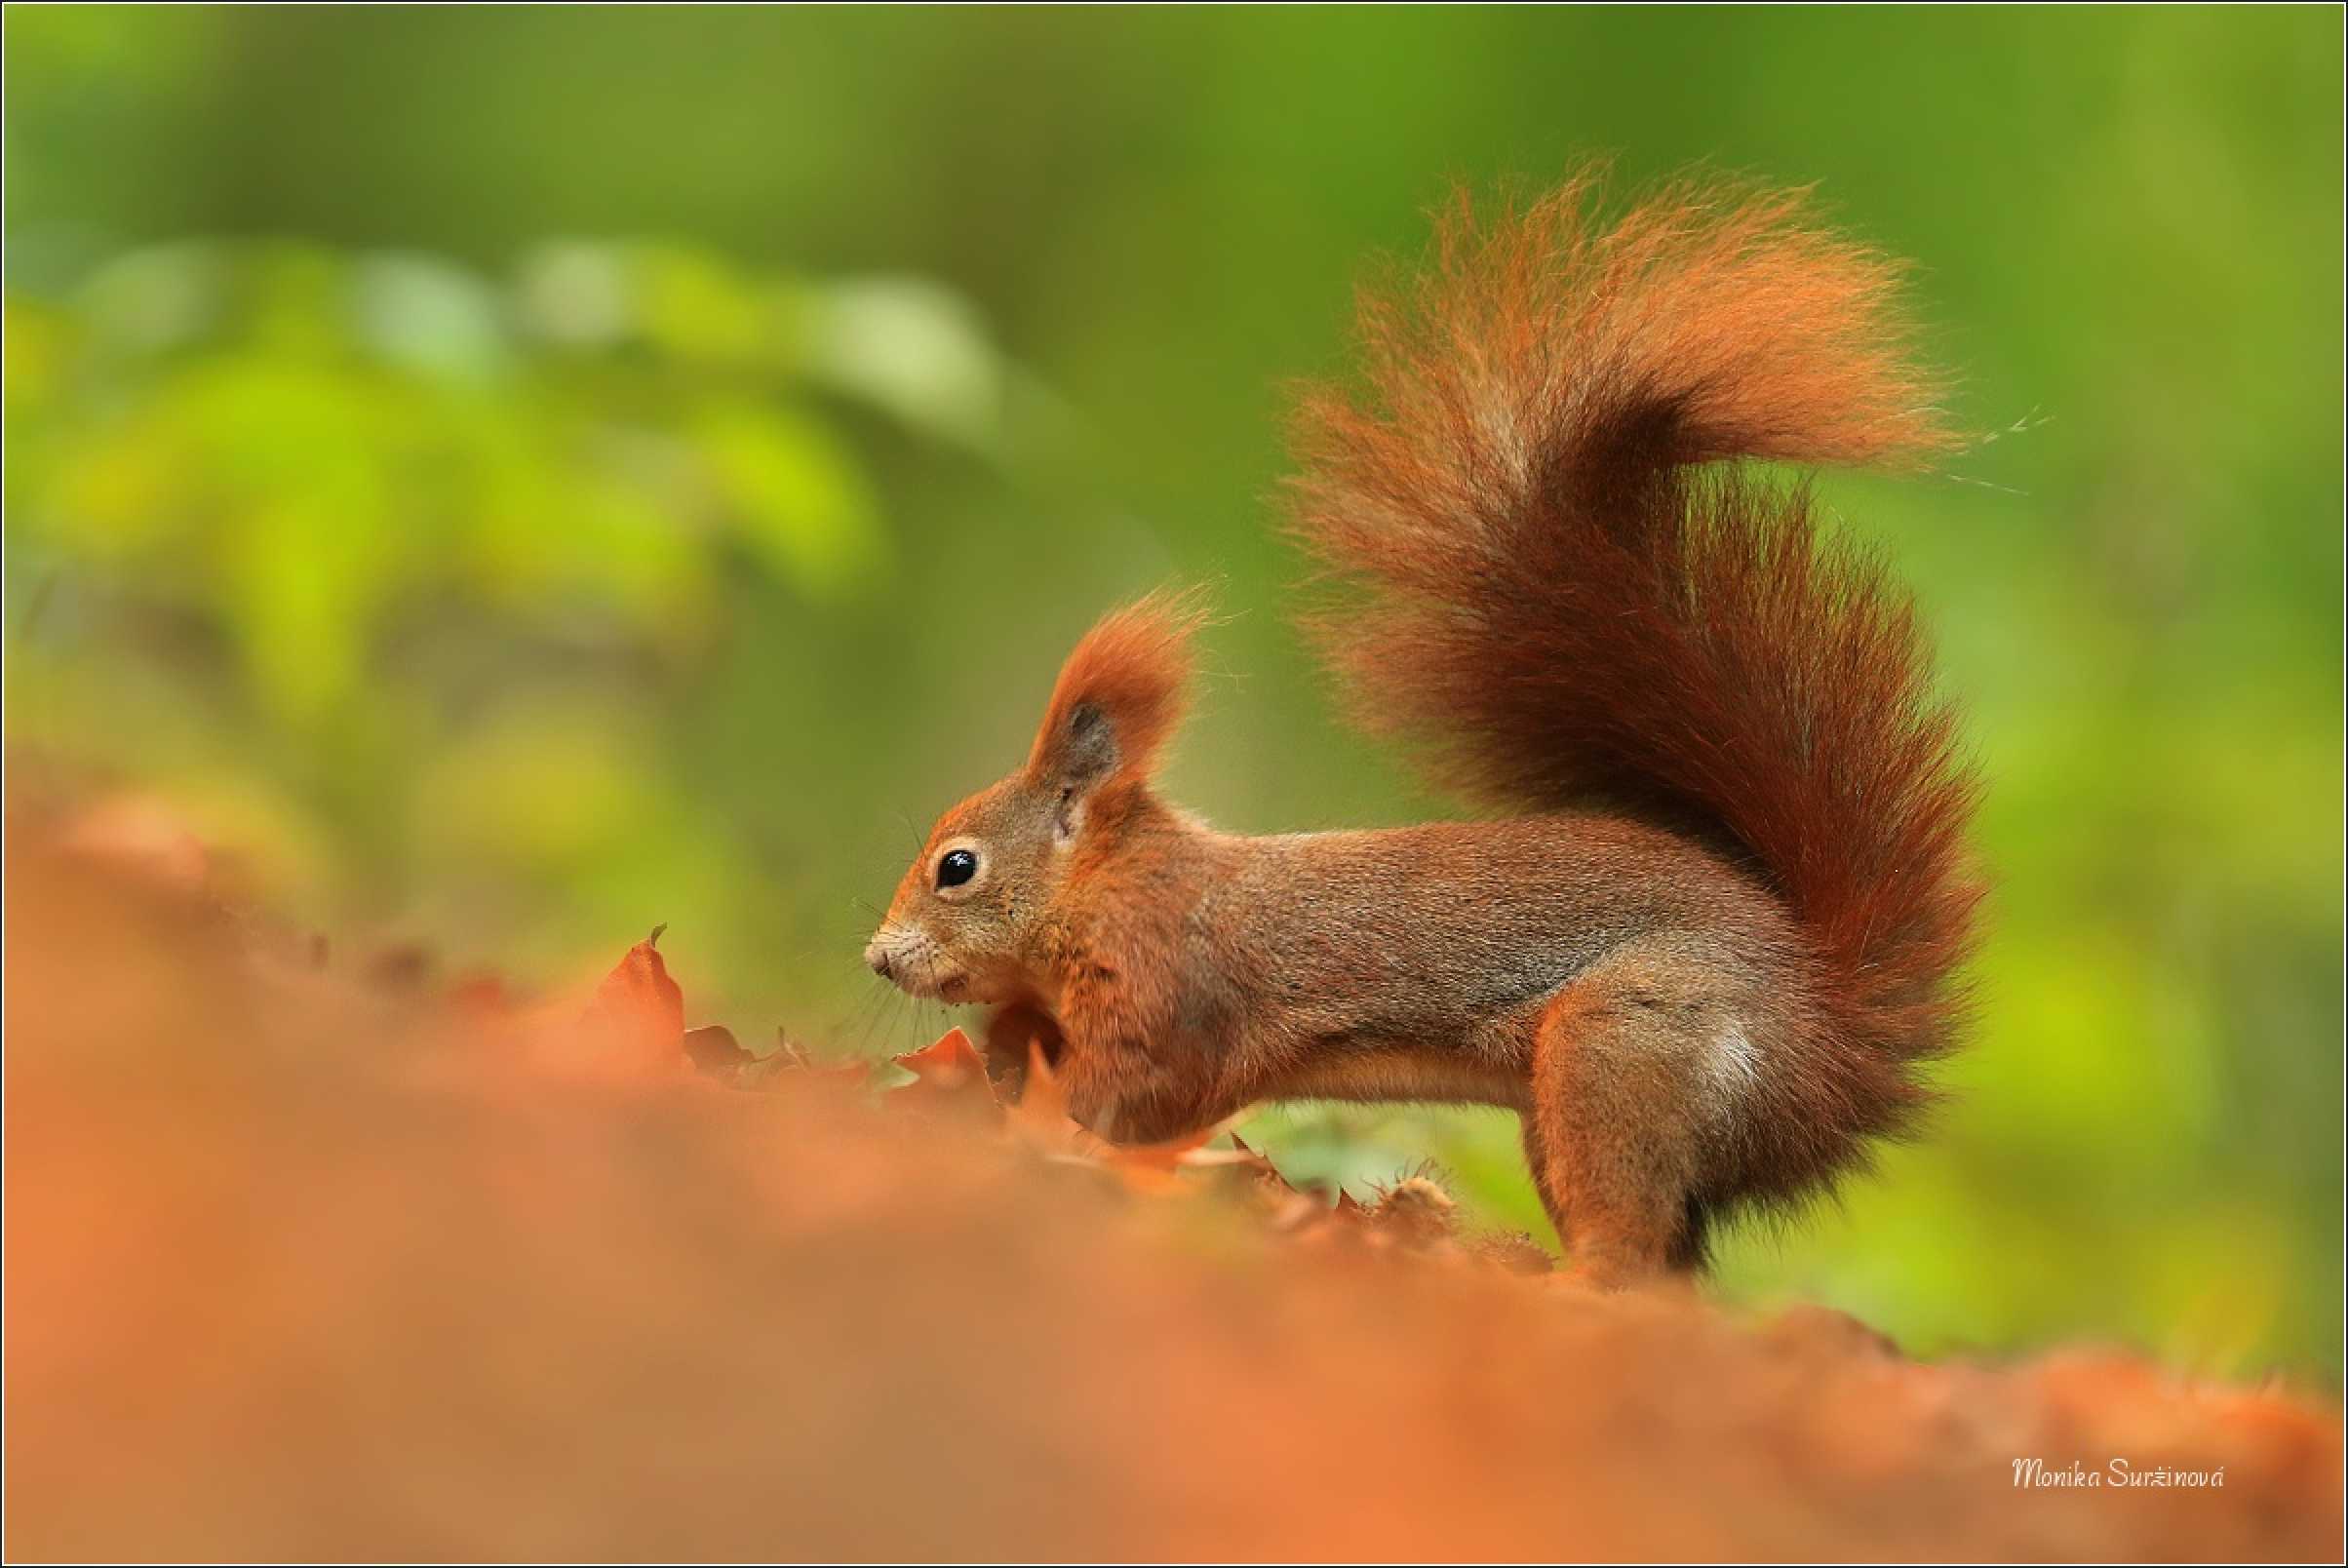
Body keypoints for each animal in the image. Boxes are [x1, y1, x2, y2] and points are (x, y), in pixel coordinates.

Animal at [864, 171, 1981, 1276]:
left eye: (955, 868)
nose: (877, 958)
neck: (1110, 885)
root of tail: (1830, 1037)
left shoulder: (1166, 999)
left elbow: (1137, 1105)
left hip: (1623, 1053)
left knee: (1629, 1245)